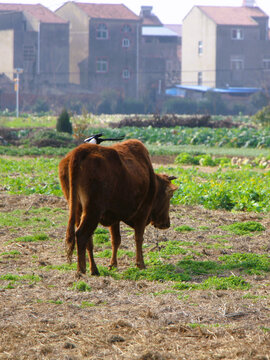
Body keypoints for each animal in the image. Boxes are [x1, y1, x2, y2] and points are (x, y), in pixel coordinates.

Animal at [58, 139, 177, 274]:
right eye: (170, 196)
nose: (166, 223)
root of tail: (79, 152)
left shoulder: (113, 217)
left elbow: (116, 240)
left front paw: (113, 264)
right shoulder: (143, 212)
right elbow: (138, 238)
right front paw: (140, 264)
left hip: (78, 210)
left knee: (88, 239)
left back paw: (94, 269)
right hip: (93, 211)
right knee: (82, 235)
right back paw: (82, 269)